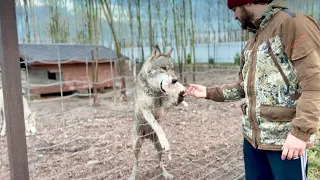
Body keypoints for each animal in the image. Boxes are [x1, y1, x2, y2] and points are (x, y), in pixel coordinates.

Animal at [129, 45, 186, 180]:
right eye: (163, 68)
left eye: (172, 69)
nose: (175, 80)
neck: (155, 92)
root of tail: (147, 136)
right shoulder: (146, 110)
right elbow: (158, 126)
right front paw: (165, 139)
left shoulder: (163, 108)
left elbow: (172, 102)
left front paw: (179, 96)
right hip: (136, 145)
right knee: (136, 162)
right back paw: (133, 175)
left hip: (158, 147)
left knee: (159, 161)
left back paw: (165, 173)